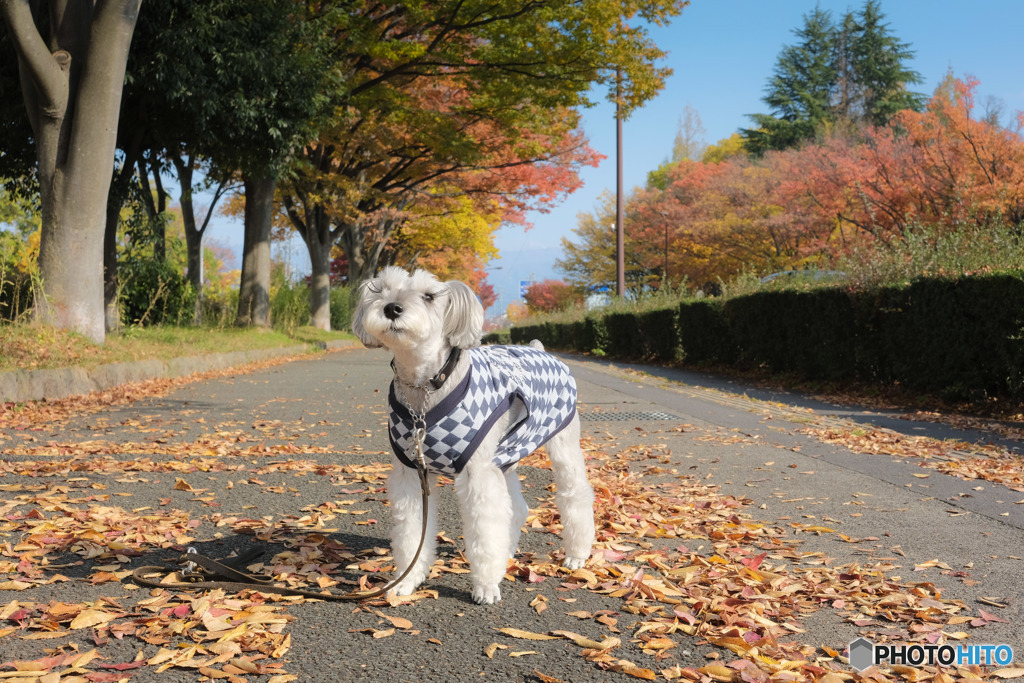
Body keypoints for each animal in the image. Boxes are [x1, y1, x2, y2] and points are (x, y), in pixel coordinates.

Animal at [352, 266, 598, 602]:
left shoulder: (477, 474)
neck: (424, 387)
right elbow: (411, 533)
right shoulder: (411, 474)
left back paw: (576, 555)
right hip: (504, 455)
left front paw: (485, 586)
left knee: (576, 495)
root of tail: (540, 349)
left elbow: (484, 530)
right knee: (517, 507)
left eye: (429, 296)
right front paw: (406, 580)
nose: (392, 308)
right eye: (383, 289)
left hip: (562, 445)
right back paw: (507, 552)